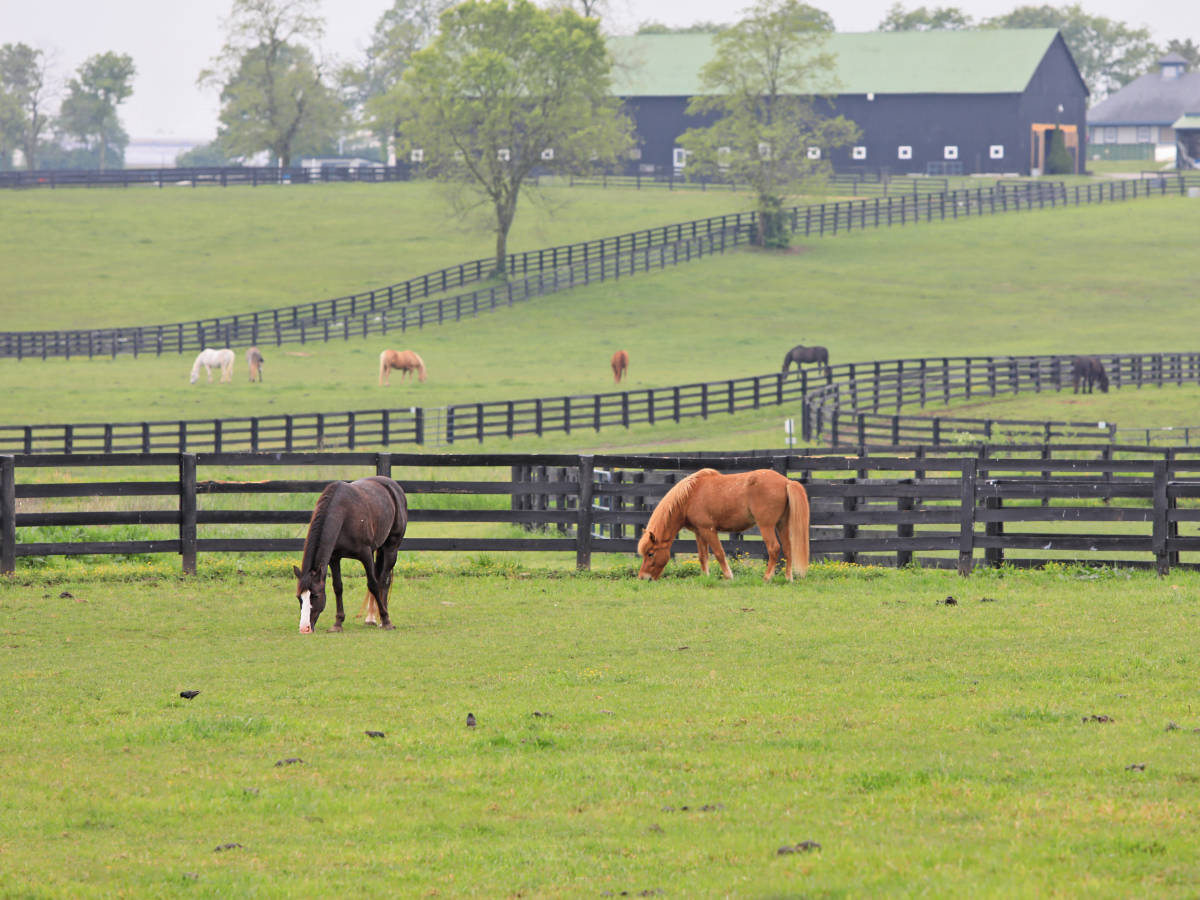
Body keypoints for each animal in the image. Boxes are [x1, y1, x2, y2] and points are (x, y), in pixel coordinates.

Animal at [293, 476, 408, 633]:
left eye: (315, 596)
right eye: (299, 597)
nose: (304, 628)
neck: (343, 514)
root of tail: (393, 486)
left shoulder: (365, 554)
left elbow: (373, 584)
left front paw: (386, 620)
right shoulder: (334, 558)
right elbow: (338, 587)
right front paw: (337, 623)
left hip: (391, 547)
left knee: (383, 581)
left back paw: (383, 618)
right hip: (378, 549)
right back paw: (371, 618)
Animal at [637, 468, 810, 583]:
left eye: (650, 554)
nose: (643, 577)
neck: (690, 495)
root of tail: (786, 481)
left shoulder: (709, 530)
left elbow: (719, 553)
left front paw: (728, 576)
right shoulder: (699, 532)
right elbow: (703, 556)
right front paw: (705, 577)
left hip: (766, 526)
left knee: (774, 548)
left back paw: (767, 577)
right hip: (782, 525)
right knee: (787, 549)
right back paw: (788, 578)